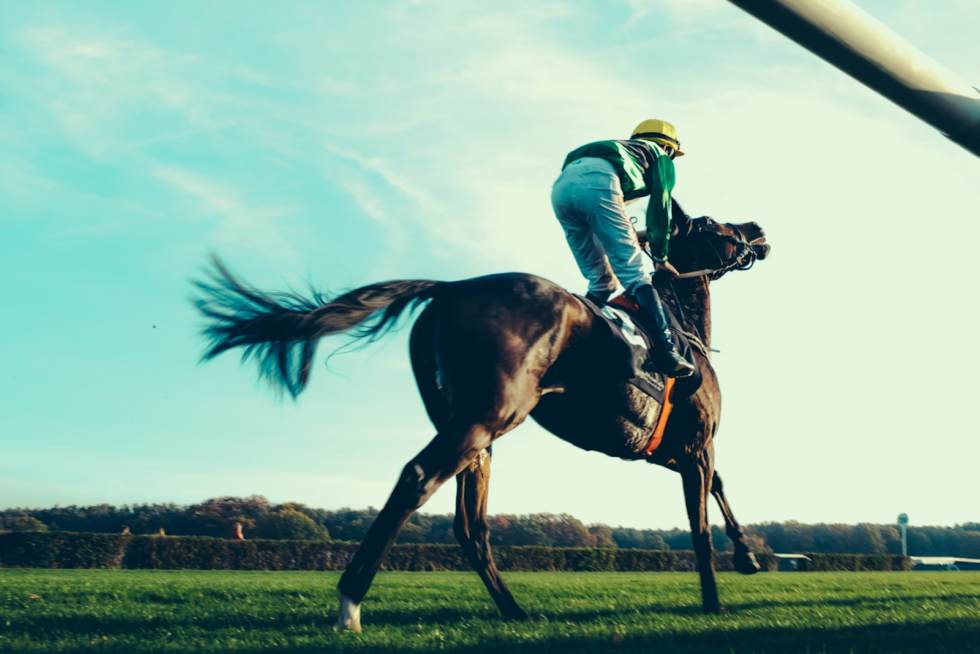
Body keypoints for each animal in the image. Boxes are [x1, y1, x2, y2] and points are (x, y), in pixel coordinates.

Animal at [192, 205, 771, 631]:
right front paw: (716, 598)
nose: (759, 230)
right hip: (487, 418)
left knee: (470, 524)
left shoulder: (666, 452)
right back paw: (350, 605)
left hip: (475, 432)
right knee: (418, 480)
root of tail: (448, 287)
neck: (683, 329)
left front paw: (748, 556)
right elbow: (700, 522)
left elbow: (718, 488)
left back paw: (514, 610)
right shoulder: (695, 446)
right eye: (717, 224)